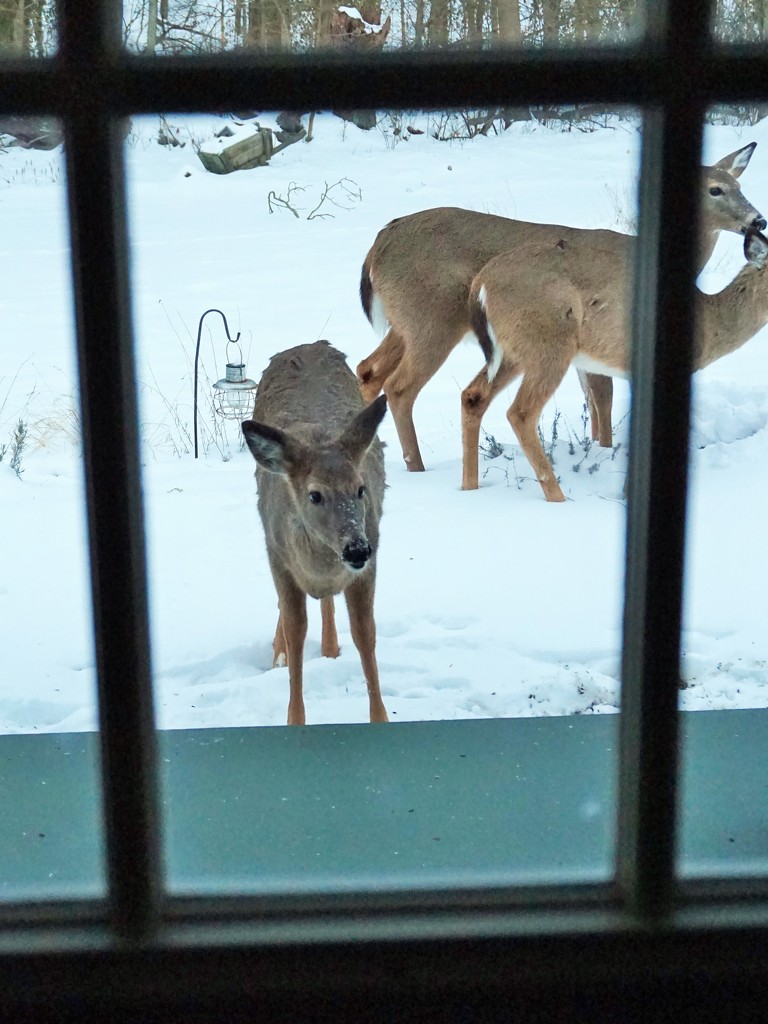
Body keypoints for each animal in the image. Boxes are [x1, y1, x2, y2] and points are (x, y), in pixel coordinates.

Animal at [243, 339, 391, 724]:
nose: (357, 549)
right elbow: (295, 629)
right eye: (315, 495)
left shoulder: (369, 563)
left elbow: (365, 632)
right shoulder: (277, 557)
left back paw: (329, 647)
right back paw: (278, 654)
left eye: (360, 489)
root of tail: (308, 344)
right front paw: (294, 720)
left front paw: (380, 718)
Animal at [358, 141, 765, 468]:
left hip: (405, 323)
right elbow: (604, 400)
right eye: (715, 189)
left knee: (369, 369)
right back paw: (416, 467)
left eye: (739, 186)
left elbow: (596, 404)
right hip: (433, 320)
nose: (758, 219)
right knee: (400, 387)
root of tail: (378, 244)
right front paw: (604, 451)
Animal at [460, 231, 768, 503]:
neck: (710, 323)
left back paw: (469, 488)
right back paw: (558, 498)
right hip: (549, 343)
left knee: (473, 396)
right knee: (521, 412)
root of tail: (481, 284)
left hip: (512, 353)